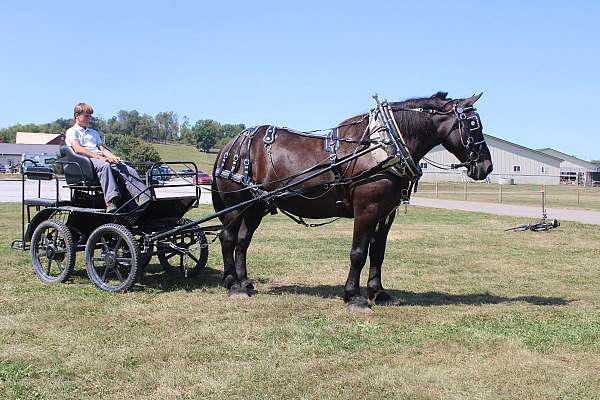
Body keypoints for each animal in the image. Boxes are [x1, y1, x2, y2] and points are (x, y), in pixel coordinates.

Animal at [211, 92, 492, 310]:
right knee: (228, 238)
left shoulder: (385, 214)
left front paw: (378, 292)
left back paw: (245, 282)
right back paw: (233, 285)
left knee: (243, 241)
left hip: (255, 206)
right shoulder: (367, 210)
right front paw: (354, 297)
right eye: (473, 125)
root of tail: (232, 144)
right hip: (236, 204)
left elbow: (378, 253)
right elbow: (358, 253)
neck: (385, 147)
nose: (487, 166)